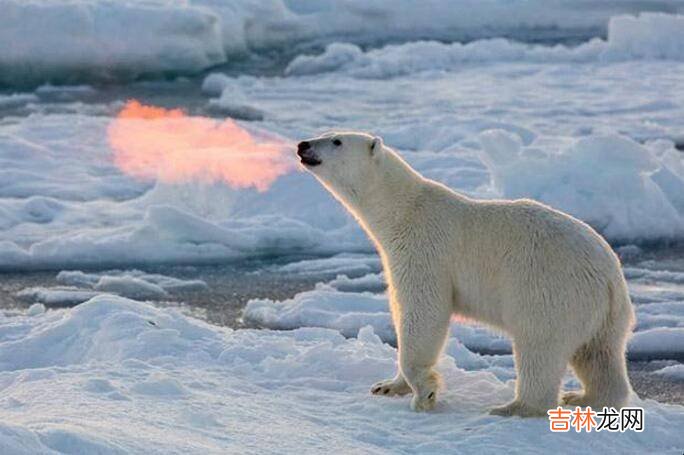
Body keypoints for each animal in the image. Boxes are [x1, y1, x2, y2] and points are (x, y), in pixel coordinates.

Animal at [296, 132, 632, 416]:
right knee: (599, 355)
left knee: (539, 346)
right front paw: (387, 386)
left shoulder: (424, 249)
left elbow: (423, 311)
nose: (302, 145)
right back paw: (586, 397)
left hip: (550, 289)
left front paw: (425, 394)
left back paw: (514, 407)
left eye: (336, 141)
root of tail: (610, 277)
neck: (402, 210)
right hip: (602, 315)